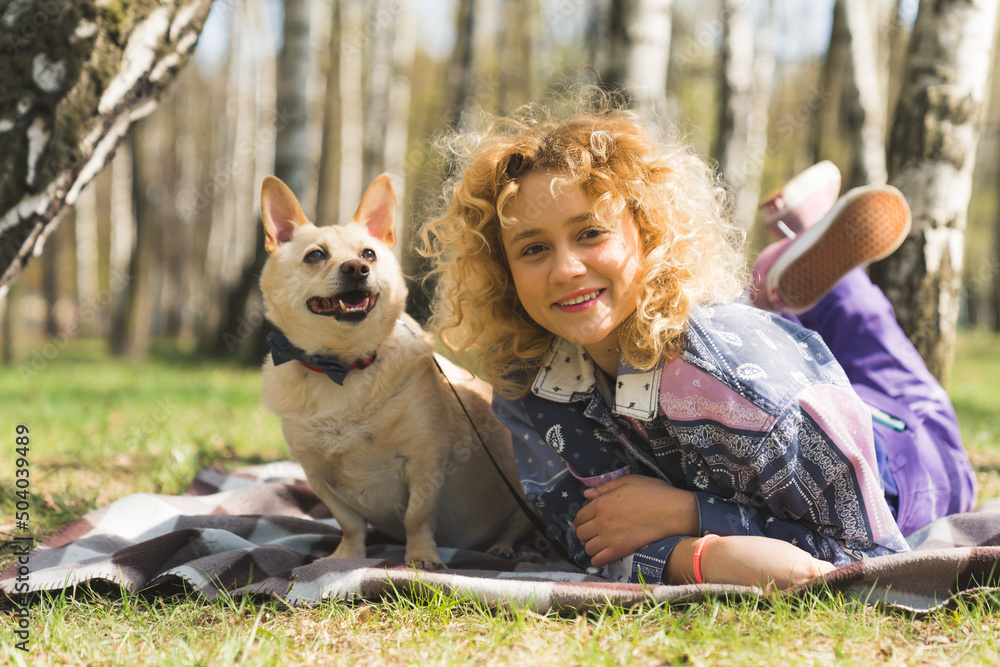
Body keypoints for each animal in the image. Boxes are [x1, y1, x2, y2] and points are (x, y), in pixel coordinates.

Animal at [262, 172, 536, 568]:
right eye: (315, 255)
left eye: (369, 254)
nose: (357, 268)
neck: (342, 366)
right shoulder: (318, 477)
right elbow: (349, 523)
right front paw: (346, 556)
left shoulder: (425, 464)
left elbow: (416, 516)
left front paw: (421, 557)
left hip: (525, 499)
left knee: (514, 527)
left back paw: (502, 548)